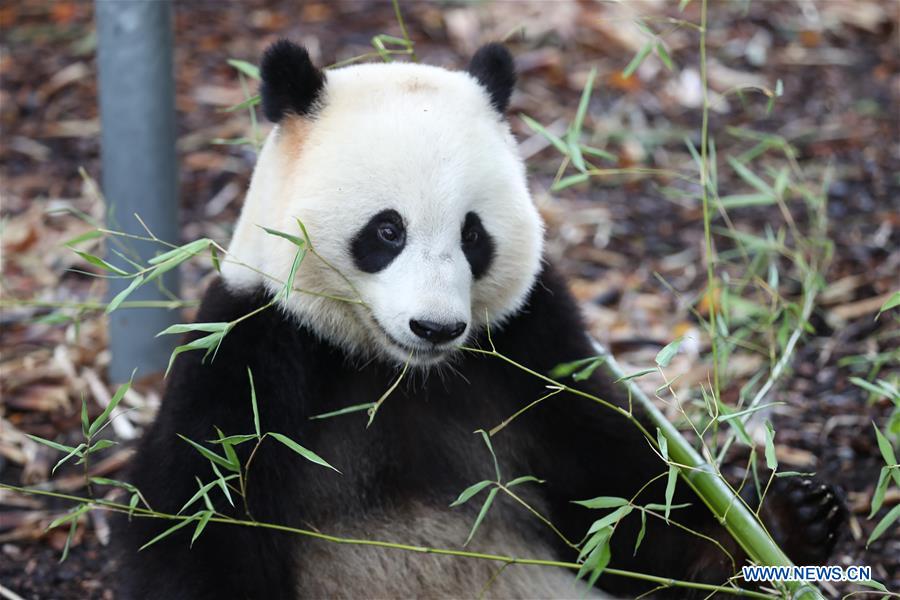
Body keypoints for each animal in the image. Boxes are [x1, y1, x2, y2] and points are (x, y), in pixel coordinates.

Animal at [116, 39, 848, 596]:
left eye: (474, 235)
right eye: (386, 231)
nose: (436, 328)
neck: (394, 373)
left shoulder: (534, 351)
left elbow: (623, 505)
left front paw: (786, 523)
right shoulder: (253, 357)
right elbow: (199, 520)